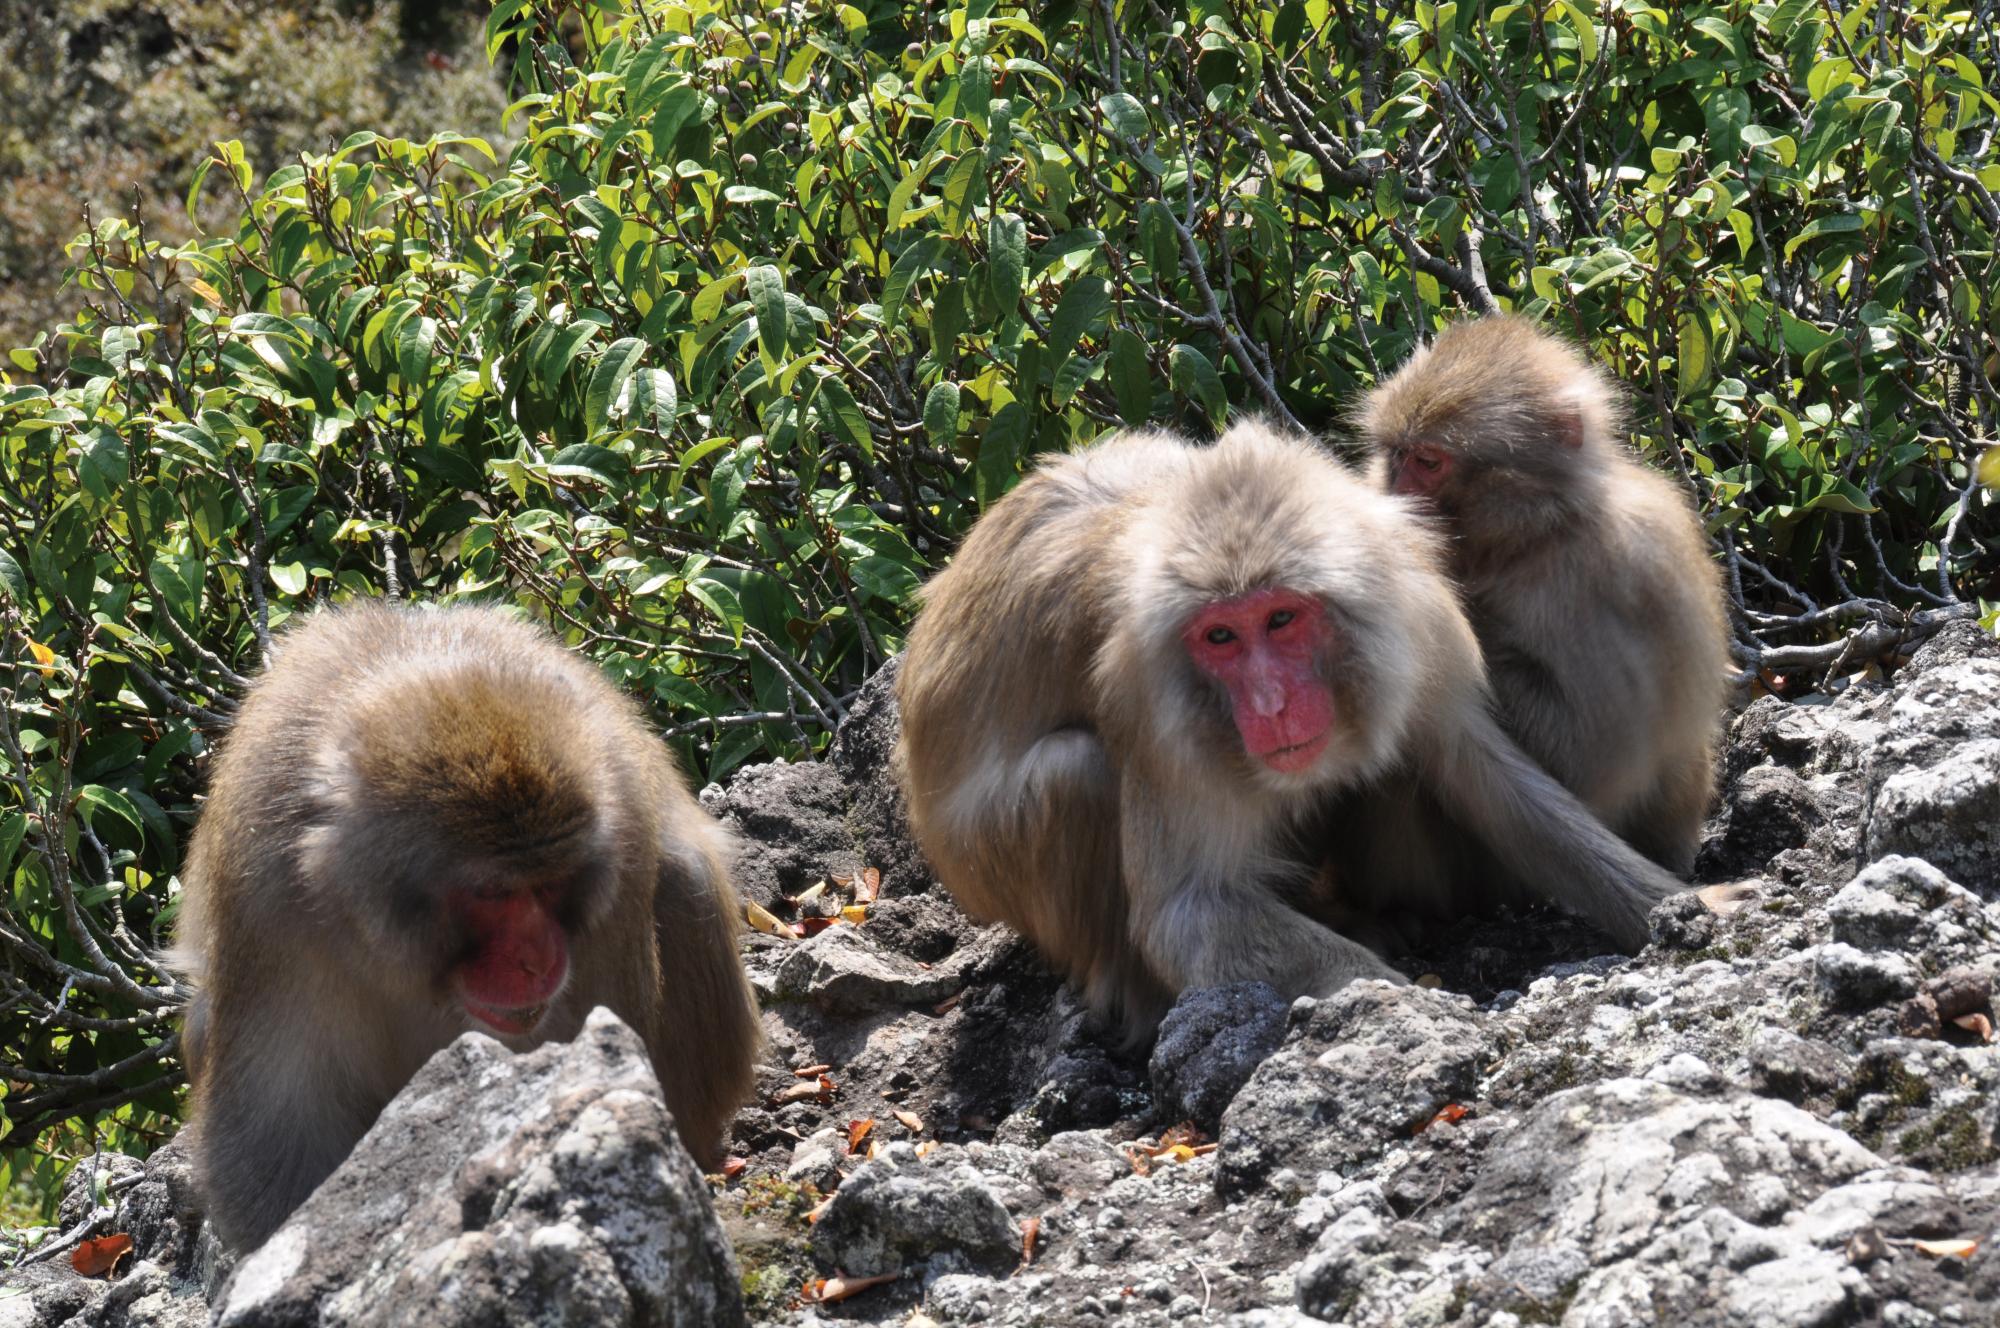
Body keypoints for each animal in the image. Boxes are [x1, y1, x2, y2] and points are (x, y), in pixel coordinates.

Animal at [172, 608, 760, 1248]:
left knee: (684, 879)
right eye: (492, 893)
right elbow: (275, 1132)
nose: (537, 960)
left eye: (550, 883)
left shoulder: (622, 844)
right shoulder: (265, 895)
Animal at [896, 420, 1688, 1032]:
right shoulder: (1155, 711)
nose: (1272, 703)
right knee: (1077, 772)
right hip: (986, 866)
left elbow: (1488, 778)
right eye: (1220, 638)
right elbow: (1189, 913)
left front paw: (1682, 907)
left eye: (1281, 618)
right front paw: (1408, 1008)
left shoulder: (1417, 625)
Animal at [1360, 318, 1736, 876]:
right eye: (1397, 455)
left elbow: (1590, 758)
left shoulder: (1613, 574)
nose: (1396, 497)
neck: (1538, 532)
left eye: (1428, 462)